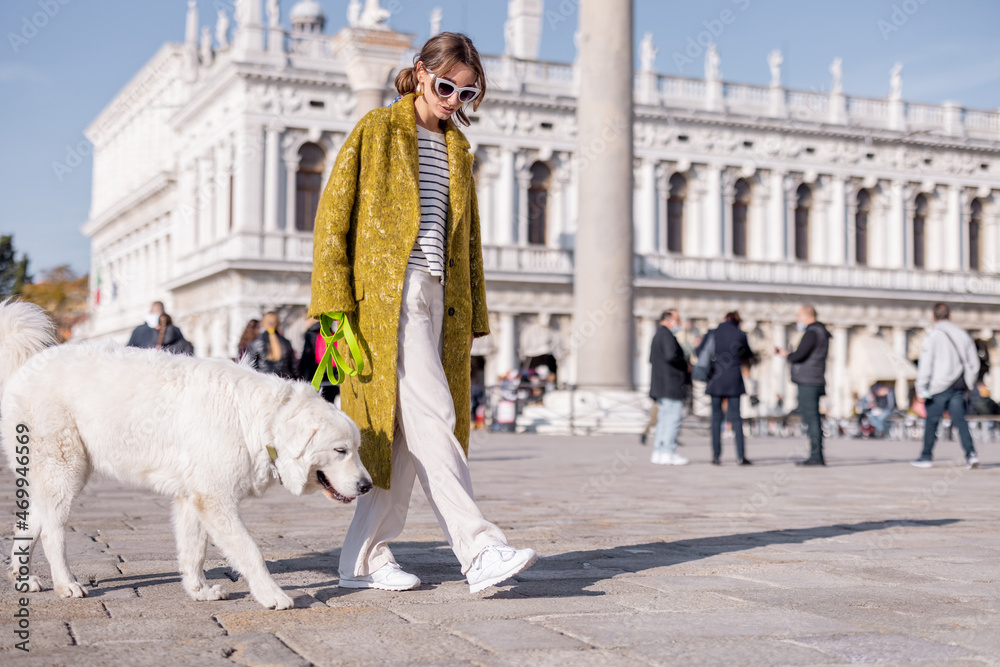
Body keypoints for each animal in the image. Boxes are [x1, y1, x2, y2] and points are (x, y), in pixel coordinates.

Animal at [0, 302, 372, 612]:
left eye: (356, 449)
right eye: (340, 450)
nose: (368, 486)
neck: (259, 421)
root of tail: (26, 367)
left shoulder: (192, 499)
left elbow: (194, 552)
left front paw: (199, 591)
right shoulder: (215, 500)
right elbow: (250, 552)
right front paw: (272, 595)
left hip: (51, 477)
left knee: (29, 524)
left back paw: (24, 579)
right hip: (65, 471)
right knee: (53, 533)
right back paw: (66, 584)